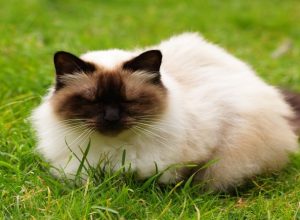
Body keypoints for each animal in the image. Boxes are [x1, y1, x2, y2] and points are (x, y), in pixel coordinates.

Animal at [31, 32, 300, 191]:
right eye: (93, 101)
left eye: (128, 100)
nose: (111, 118)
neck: (113, 149)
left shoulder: (208, 145)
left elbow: (174, 178)